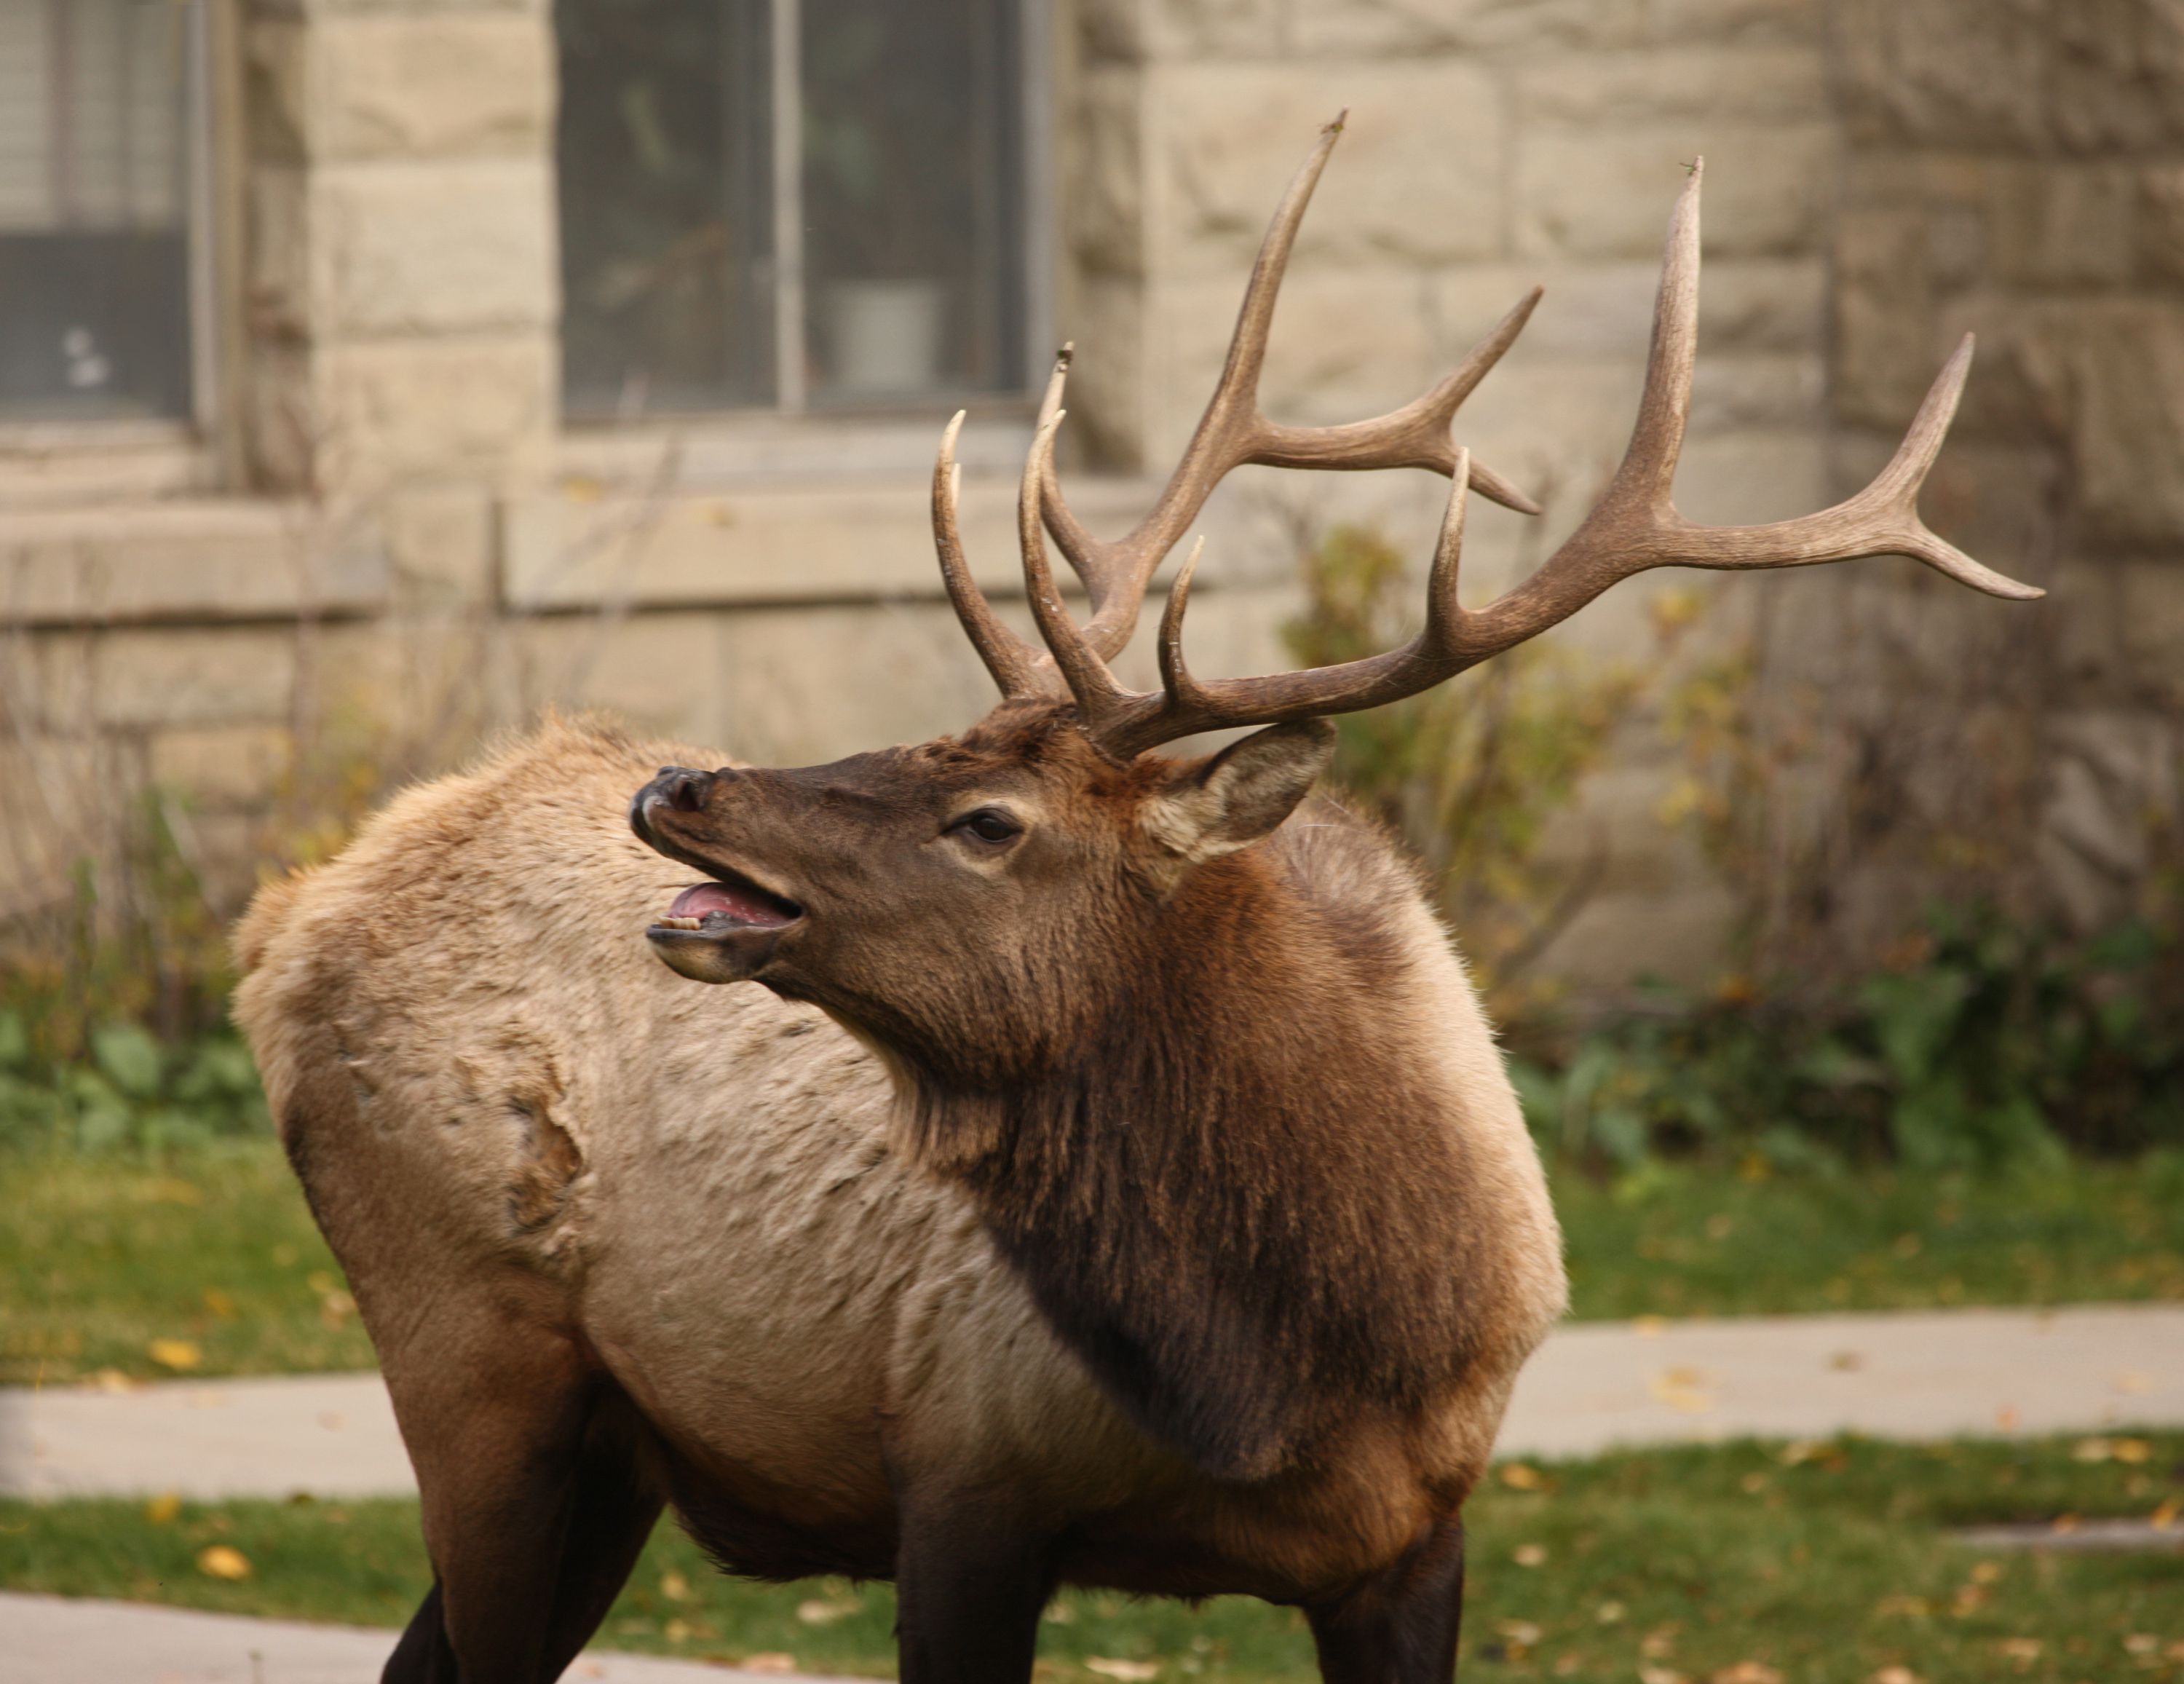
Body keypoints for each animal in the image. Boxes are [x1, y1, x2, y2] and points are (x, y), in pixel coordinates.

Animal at [233, 123, 2038, 1684]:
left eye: (988, 815)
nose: (678, 789)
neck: (1301, 1371)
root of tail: (289, 928)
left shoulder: (1419, 1536)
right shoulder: (961, 1475)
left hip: (606, 1442)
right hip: (472, 1348)